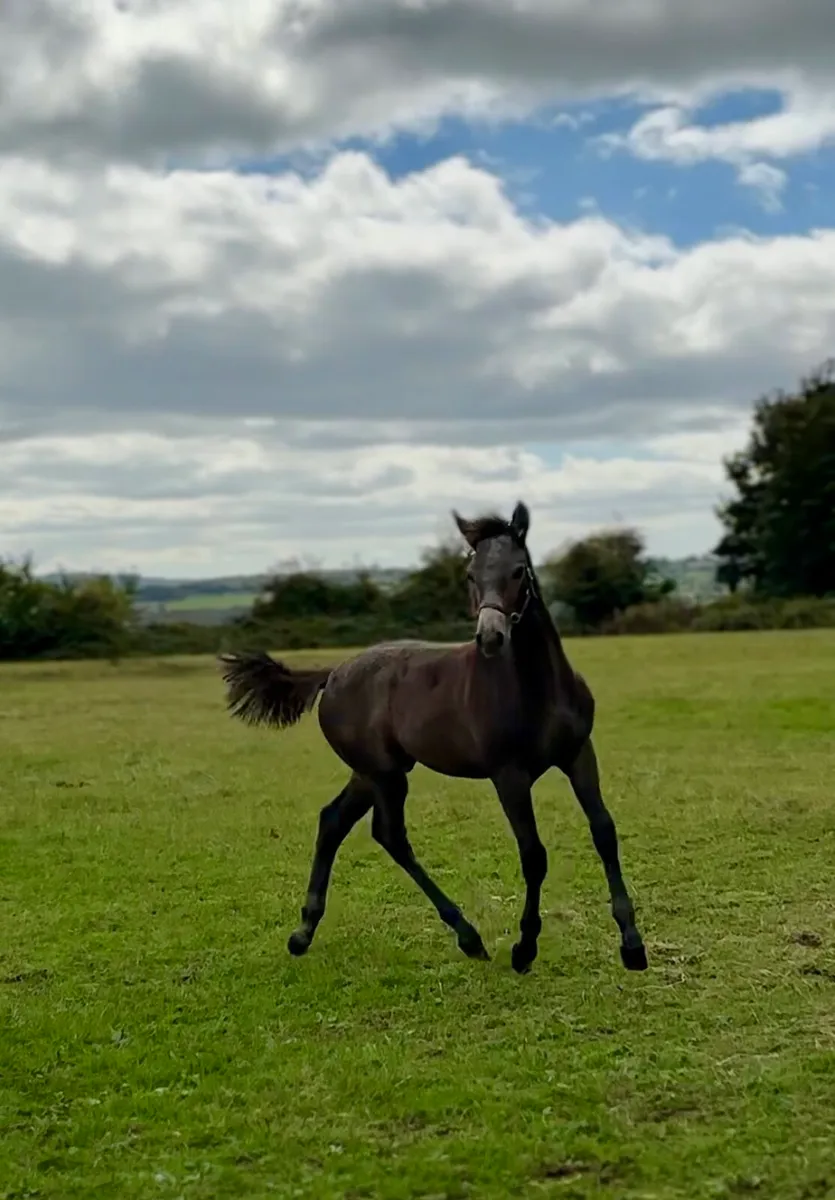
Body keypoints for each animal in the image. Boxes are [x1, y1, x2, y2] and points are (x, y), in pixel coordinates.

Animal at [219, 501, 647, 975]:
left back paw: (303, 933)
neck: (538, 688)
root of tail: (331, 674)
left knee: (333, 821)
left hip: (372, 773)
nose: (490, 636)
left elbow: (604, 831)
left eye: (519, 570)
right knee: (389, 835)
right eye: (470, 575)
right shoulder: (510, 775)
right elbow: (533, 854)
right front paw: (524, 948)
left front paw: (632, 944)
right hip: (384, 774)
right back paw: (468, 936)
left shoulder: (578, 754)